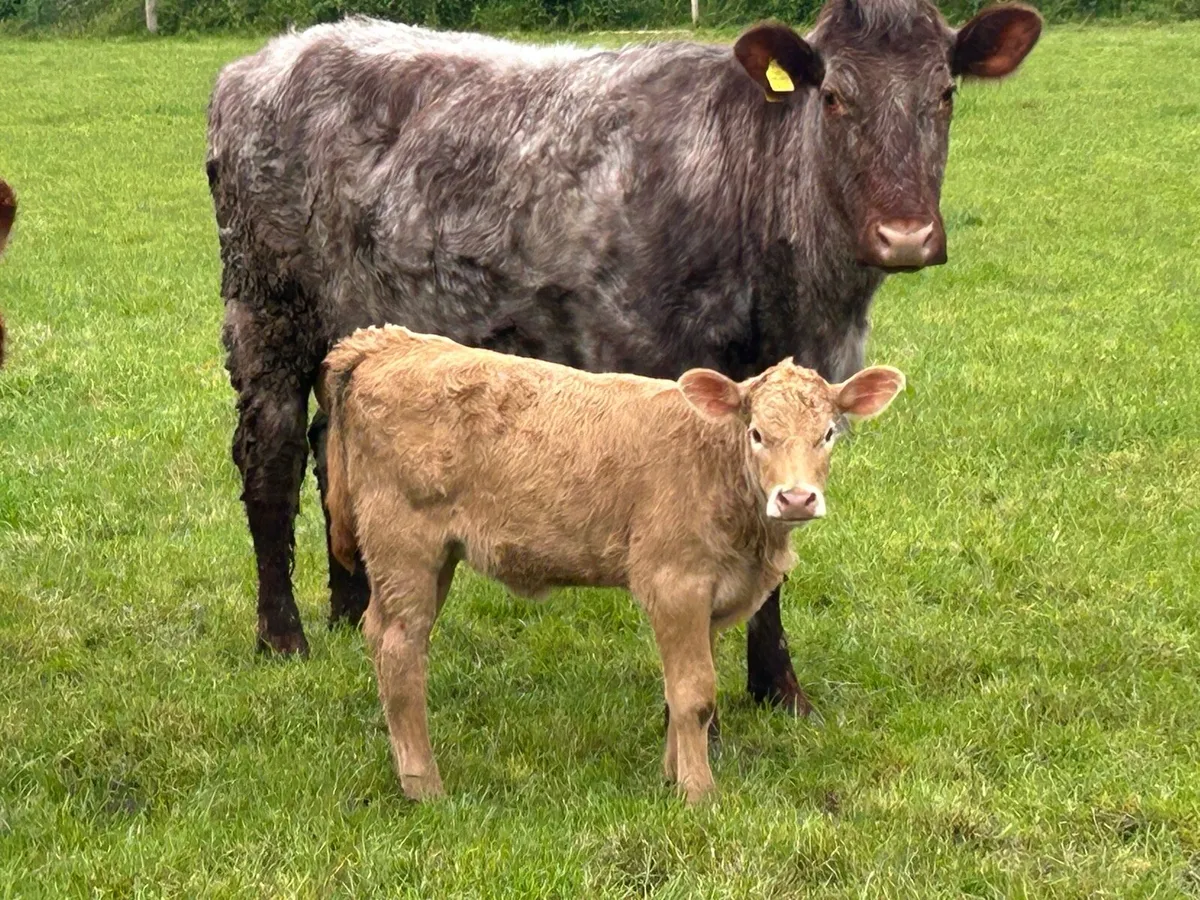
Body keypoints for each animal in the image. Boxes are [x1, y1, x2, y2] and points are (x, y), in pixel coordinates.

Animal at [206, 0, 1041, 718]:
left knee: (332, 452)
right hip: (266, 309)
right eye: (834, 96)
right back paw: (283, 635)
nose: (905, 235)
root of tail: (273, 55)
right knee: (270, 459)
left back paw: (352, 611)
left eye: (945, 94)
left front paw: (779, 689)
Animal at [317, 325, 907, 802]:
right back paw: (424, 786)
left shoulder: (709, 597)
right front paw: (699, 793)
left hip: (434, 556)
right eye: (757, 433)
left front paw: (672, 776)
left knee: (383, 634)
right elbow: (695, 693)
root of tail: (387, 342)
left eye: (827, 433)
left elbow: (682, 690)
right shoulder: (674, 581)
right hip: (403, 543)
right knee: (401, 648)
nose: (797, 498)